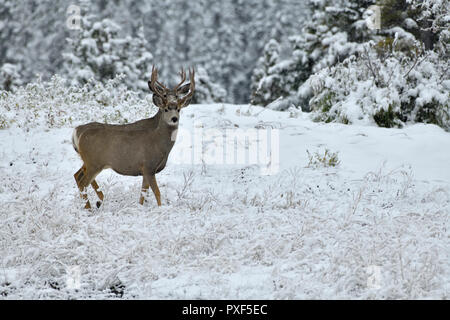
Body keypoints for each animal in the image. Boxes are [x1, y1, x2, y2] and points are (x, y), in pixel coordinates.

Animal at [72, 66, 195, 209]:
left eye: (178, 108)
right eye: (166, 108)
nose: (174, 118)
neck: (159, 143)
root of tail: (77, 131)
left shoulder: (144, 170)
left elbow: (143, 193)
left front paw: (140, 208)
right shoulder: (148, 166)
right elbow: (157, 192)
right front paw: (161, 209)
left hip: (88, 161)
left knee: (77, 175)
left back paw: (95, 203)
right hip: (94, 162)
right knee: (82, 182)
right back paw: (90, 207)